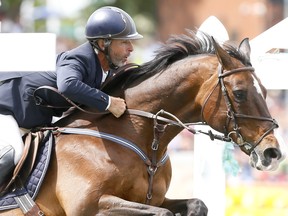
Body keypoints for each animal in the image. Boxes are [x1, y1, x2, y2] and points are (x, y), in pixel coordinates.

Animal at [0, 30, 284, 216]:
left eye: (265, 91)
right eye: (239, 93)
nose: (272, 153)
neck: (145, 141)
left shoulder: (157, 199)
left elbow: (196, 205)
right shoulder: (89, 205)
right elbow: (163, 214)